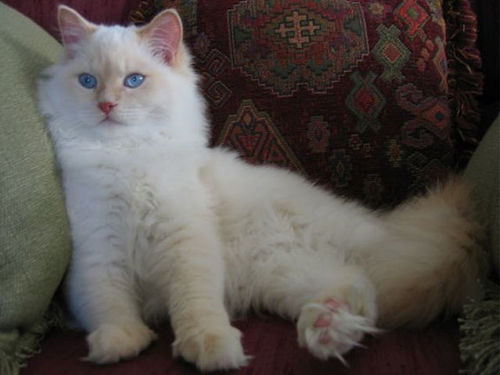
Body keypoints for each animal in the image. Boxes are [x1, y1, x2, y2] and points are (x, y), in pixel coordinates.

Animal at [37, 5, 486, 374]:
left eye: (133, 81)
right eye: (88, 81)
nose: (106, 105)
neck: (127, 160)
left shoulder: (188, 245)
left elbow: (196, 305)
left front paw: (211, 348)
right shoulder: (96, 254)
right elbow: (109, 303)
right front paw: (120, 342)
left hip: (331, 248)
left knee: (368, 280)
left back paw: (328, 328)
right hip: (285, 275)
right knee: (358, 284)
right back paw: (329, 327)